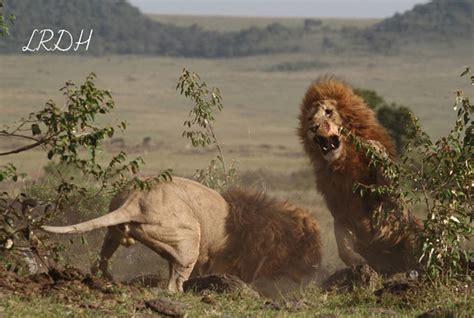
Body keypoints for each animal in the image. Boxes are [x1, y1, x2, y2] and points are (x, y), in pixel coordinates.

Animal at [42, 178, 322, 292]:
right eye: (312, 248)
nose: (316, 267)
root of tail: (136, 197)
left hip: (117, 233)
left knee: (102, 259)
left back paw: (107, 278)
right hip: (189, 237)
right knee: (173, 286)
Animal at [298, 77, 420, 274]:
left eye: (328, 112)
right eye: (309, 118)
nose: (313, 128)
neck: (343, 166)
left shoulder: (391, 210)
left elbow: (388, 190)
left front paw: (375, 147)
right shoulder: (341, 215)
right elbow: (343, 246)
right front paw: (358, 262)